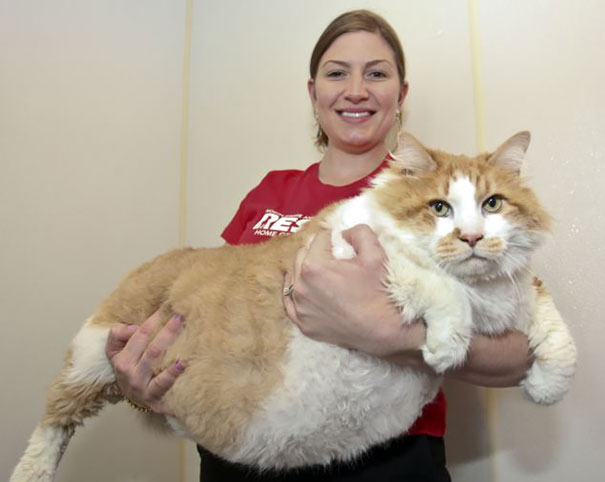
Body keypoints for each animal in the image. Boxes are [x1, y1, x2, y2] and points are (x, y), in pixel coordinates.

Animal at [9, 132, 576, 482]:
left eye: (492, 204)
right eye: (440, 207)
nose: (473, 237)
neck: (484, 293)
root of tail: (171, 253)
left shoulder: (516, 291)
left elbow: (551, 322)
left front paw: (547, 383)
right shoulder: (353, 255)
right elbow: (433, 280)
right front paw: (446, 341)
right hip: (92, 357)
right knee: (54, 420)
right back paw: (31, 471)